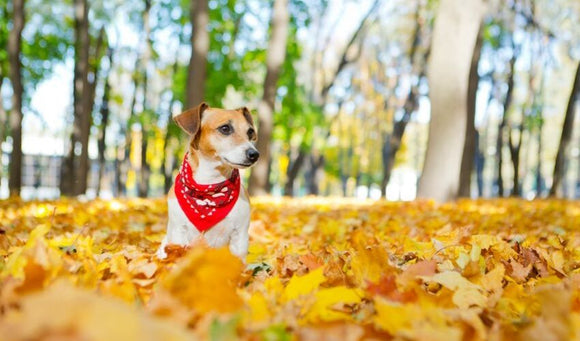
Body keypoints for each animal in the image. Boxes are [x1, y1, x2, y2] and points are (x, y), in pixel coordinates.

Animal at [157, 101, 260, 260]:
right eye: (225, 128)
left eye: (250, 132)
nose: (254, 154)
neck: (209, 185)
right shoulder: (178, 232)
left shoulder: (240, 236)